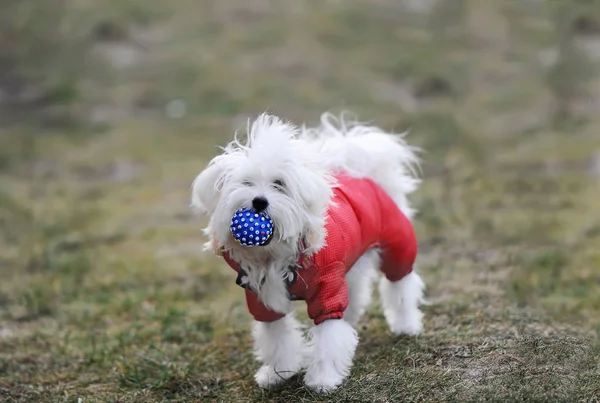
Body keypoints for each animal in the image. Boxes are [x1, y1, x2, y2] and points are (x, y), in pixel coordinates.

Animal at [192, 112, 426, 392]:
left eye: (279, 184)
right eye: (246, 183)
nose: (259, 201)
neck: (276, 255)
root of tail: (359, 171)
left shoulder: (327, 290)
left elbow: (327, 336)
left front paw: (323, 379)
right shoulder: (262, 299)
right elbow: (278, 338)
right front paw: (277, 373)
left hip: (397, 248)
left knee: (400, 286)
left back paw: (406, 326)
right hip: (351, 266)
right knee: (358, 291)